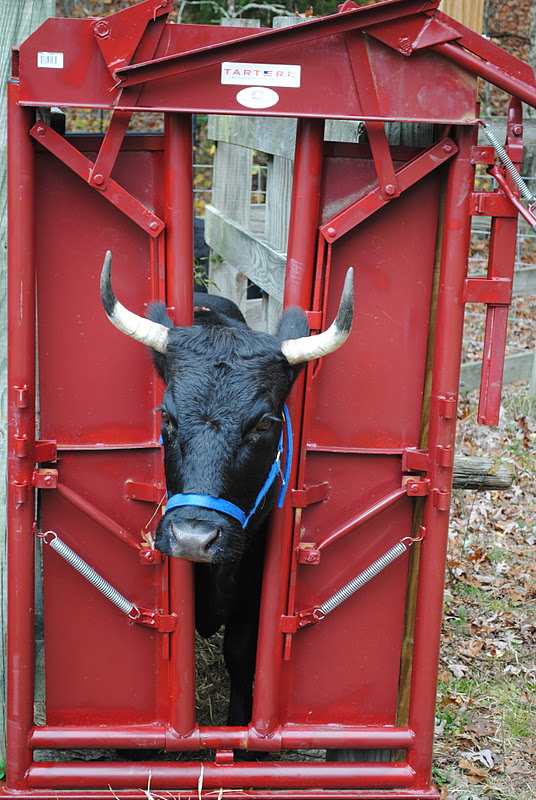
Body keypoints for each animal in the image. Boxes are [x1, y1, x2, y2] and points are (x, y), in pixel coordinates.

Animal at [100, 251, 353, 729]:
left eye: (265, 424)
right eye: (167, 416)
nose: (193, 538)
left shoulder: (253, 589)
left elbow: (239, 654)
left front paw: (239, 721)